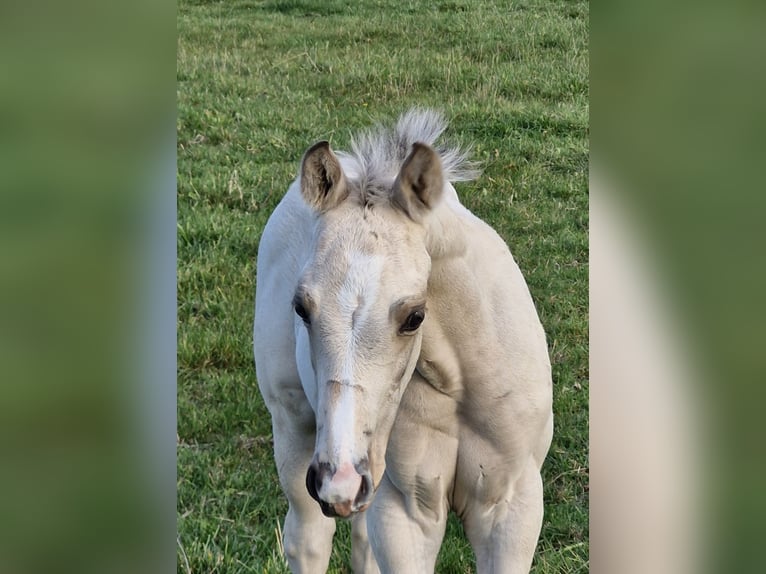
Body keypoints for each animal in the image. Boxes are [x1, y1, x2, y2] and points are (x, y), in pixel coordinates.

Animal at [255, 110, 556, 572]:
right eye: (301, 308)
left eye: (415, 316)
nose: (339, 480)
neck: (458, 385)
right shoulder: (405, 510)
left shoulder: (511, 506)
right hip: (298, 431)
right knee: (308, 539)